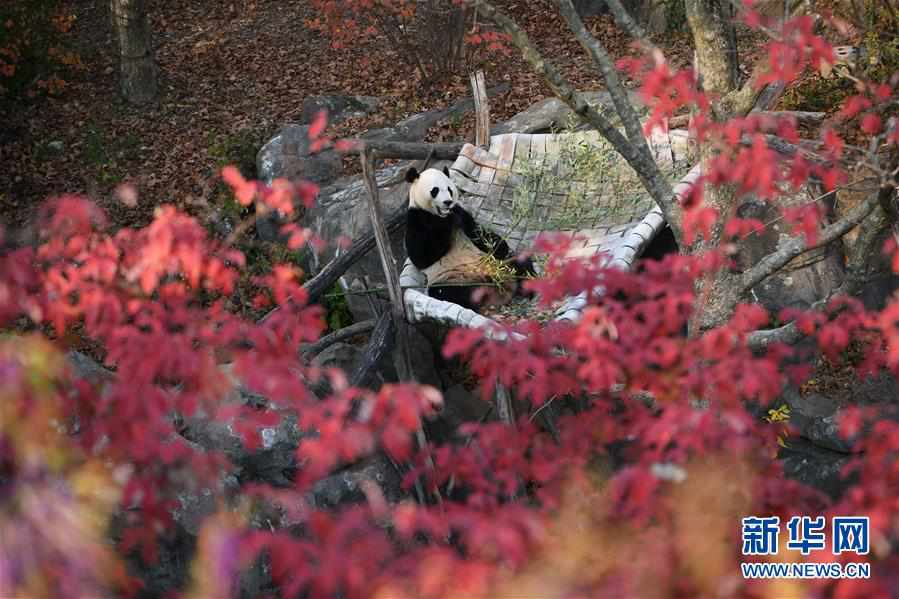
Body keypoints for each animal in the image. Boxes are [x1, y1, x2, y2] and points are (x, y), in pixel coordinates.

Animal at [402, 166, 536, 312]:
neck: (438, 215)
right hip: (452, 278)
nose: (447, 202)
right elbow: (422, 257)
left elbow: (480, 234)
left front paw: (500, 244)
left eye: (449, 189)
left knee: (520, 263)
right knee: (448, 292)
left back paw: (531, 287)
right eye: (435, 190)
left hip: (500, 264)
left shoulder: (463, 215)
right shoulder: (416, 217)